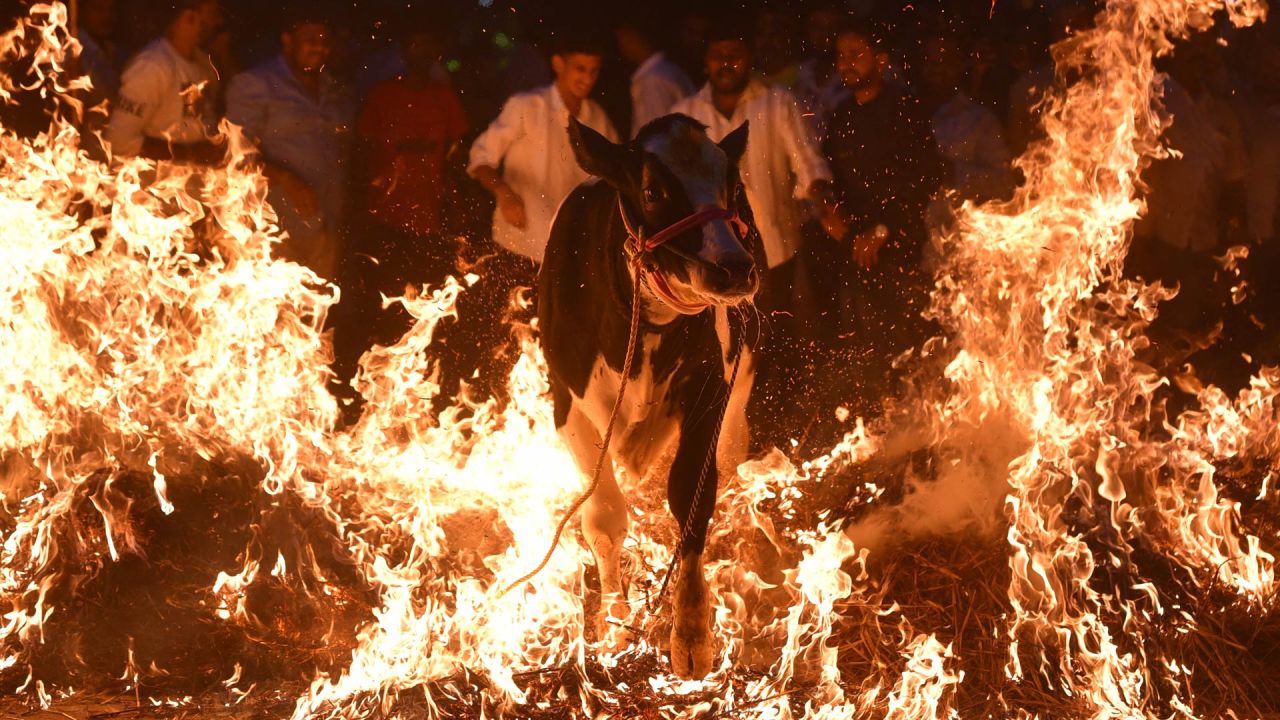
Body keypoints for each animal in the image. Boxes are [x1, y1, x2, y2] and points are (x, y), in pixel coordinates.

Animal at [540, 114, 757, 676]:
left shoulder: (711, 392)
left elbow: (691, 498)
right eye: (653, 190)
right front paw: (615, 624)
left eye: (733, 186)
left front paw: (692, 632)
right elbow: (604, 518)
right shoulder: (568, 406)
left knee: (732, 455)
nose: (734, 266)